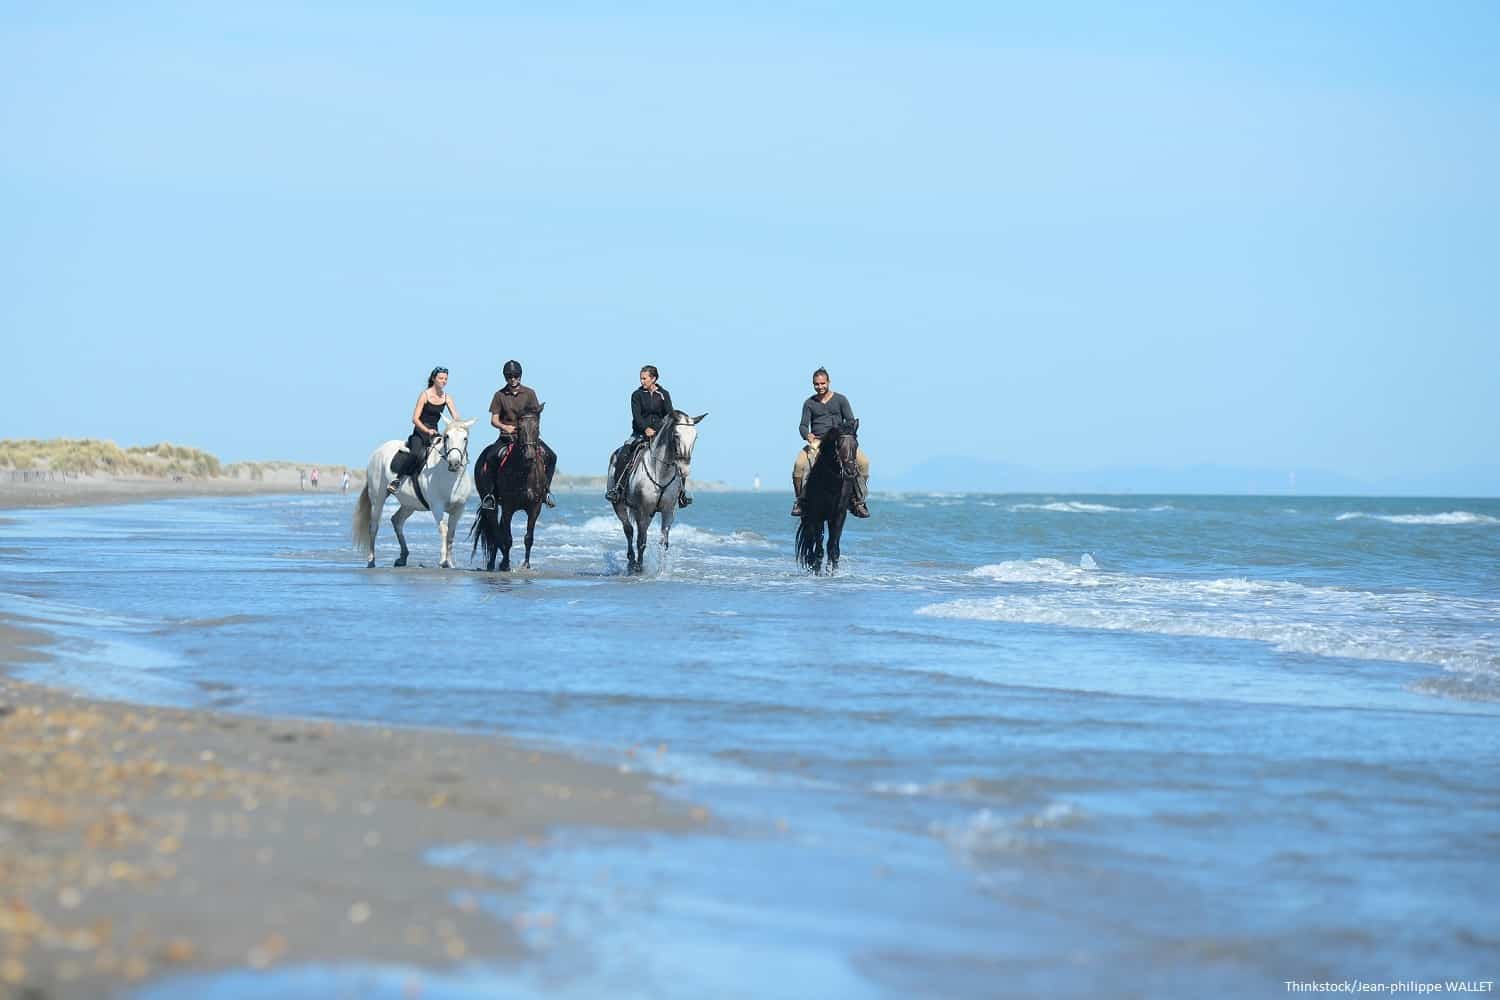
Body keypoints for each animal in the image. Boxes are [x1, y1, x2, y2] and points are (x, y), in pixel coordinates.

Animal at [351, 416, 474, 569]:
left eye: (465, 438)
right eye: (447, 437)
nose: (454, 463)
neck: (451, 478)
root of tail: (378, 451)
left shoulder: (459, 508)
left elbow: (451, 533)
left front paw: (450, 562)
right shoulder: (437, 506)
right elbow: (444, 529)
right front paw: (442, 560)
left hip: (409, 504)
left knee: (397, 520)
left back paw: (402, 557)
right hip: (377, 498)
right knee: (374, 526)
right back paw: (371, 560)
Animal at [468, 407, 558, 569]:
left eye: (537, 427)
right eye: (519, 428)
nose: (529, 455)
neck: (524, 472)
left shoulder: (535, 508)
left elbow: (528, 537)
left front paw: (526, 565)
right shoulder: (508, 507)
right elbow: (507, 538)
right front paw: (505, 564)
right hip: (492, 505)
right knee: (496, 532)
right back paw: (493, 563)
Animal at [606, 410, 705, 575]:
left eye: (695, 437)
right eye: (676, 435)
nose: (684, 470)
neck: (660, 472)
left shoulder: (668, 512)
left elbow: (663, 542)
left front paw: (661, 570)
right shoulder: (643, 511)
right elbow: (641, 540)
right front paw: (639, 568)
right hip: (619, 505)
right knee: (629, 530)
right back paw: (631, 563)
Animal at [792, 419, 864, 575]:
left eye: (856, 444)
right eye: (839, 445)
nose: (850, 471)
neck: (832, 482)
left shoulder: (839, 515)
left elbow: (833, 548)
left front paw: (832, 573)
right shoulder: (818, 515)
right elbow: (819, 549)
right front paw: (818, 573)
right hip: (809, 516)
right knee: (811, 545)